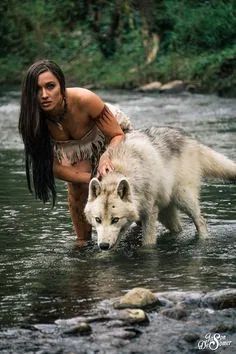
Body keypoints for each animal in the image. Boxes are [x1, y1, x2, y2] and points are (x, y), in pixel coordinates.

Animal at [85, 126, 236, 249]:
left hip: (183, 198)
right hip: (165, 213)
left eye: (115, 219)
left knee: (201, 220)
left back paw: (203, 241)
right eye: (97, 219)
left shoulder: (149, 214)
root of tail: (190, 139)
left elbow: (148, 243)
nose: (103, 246)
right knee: (178, 228)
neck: (121, 171)